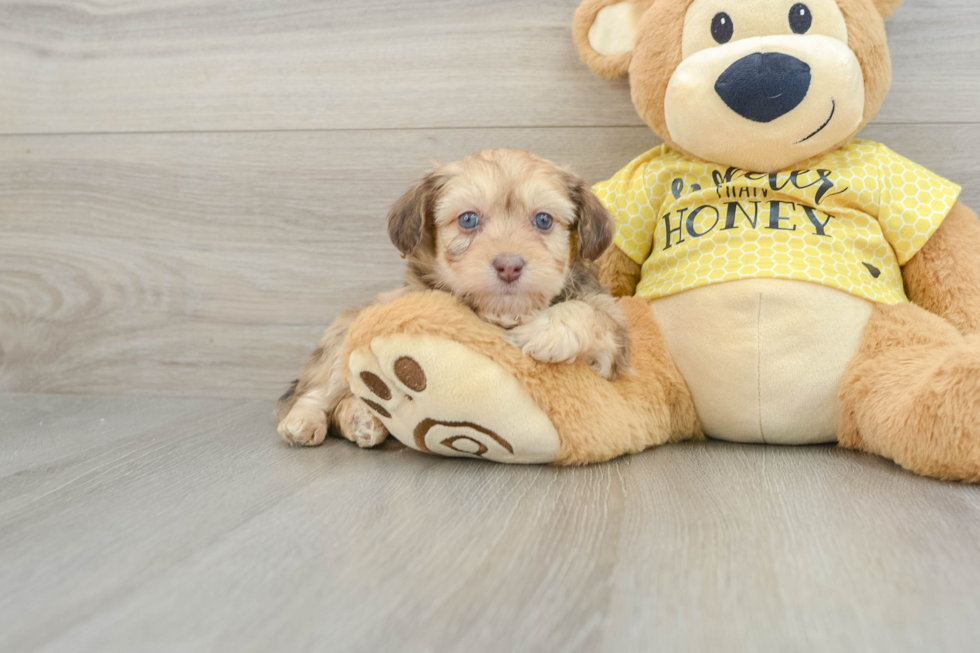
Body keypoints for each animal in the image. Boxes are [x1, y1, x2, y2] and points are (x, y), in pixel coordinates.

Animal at [276, 149, 632, 448]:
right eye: (468, 219)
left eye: (543, 220)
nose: (509, 265)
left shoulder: (614, 343)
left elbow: (592, 315)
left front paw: (544, 331)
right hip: (344, 340)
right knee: (318, 391)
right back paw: (307, 421)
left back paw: (363, 419)